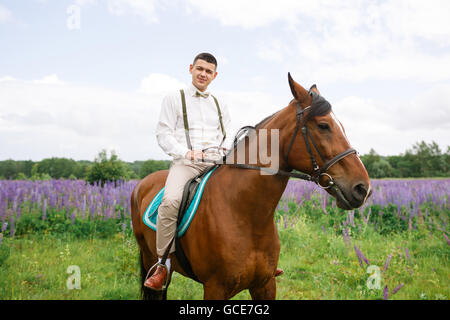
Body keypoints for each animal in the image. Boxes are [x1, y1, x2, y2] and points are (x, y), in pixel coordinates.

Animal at [131, 75, 372, 300]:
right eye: (323, 125)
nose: (363, 188)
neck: (245, 214)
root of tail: (142, 184)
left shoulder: (265, 285)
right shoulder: (215, 288)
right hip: (150, 257)